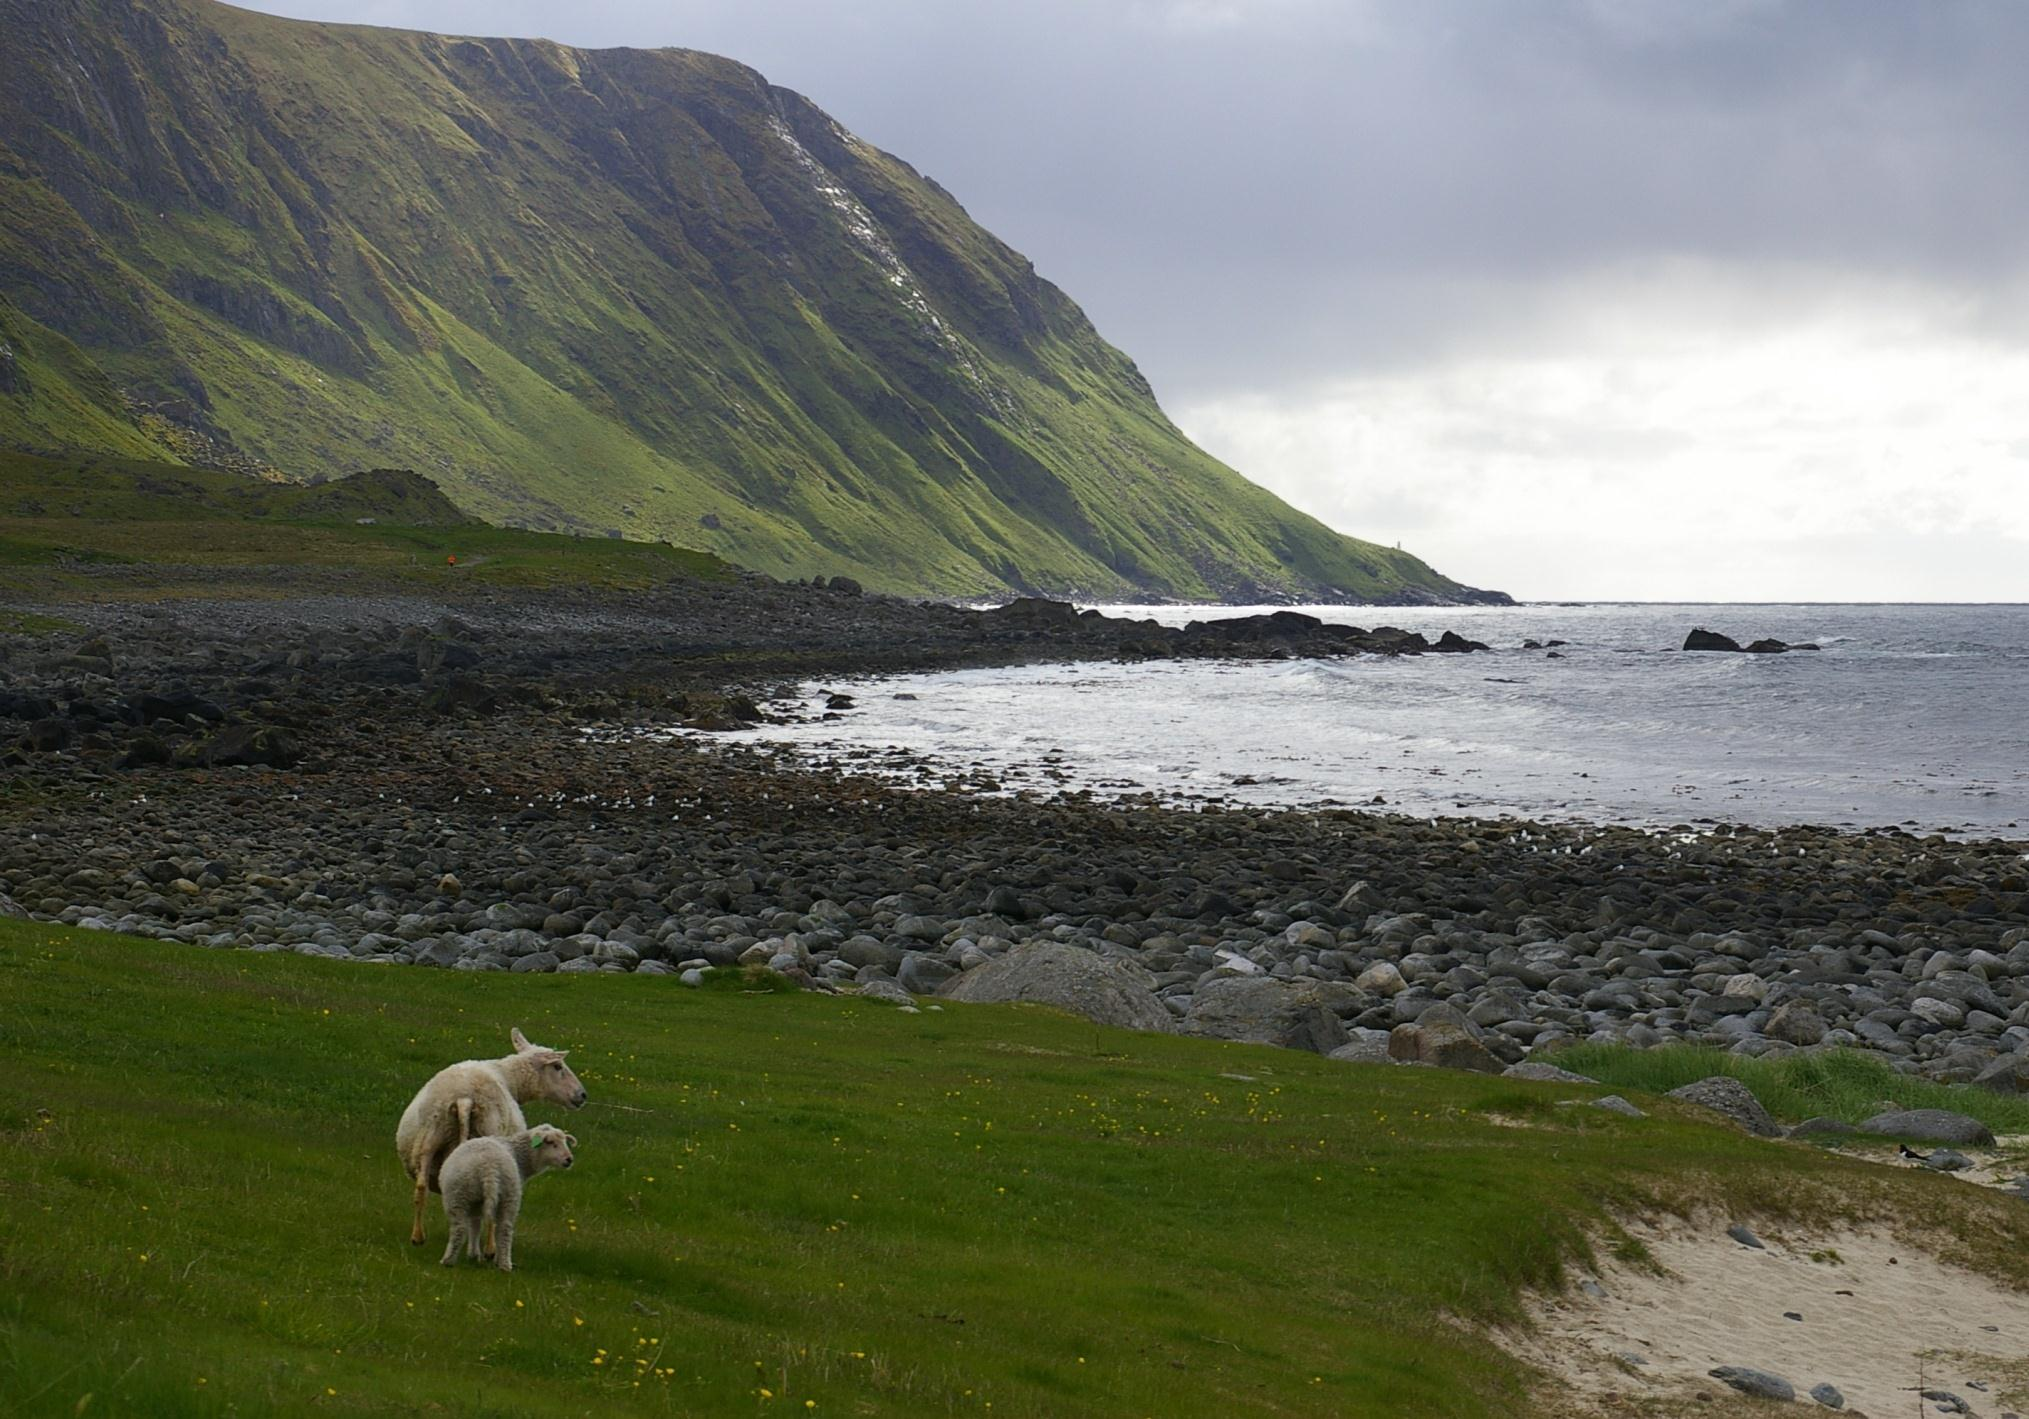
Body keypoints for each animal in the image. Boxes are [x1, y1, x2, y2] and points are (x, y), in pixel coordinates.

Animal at [395, 1031, 584, 1242]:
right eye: (558, 1066)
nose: (582, 1095)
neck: (511, 1079)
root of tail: (464, 1099)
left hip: (430, 1136)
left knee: (421, 1187)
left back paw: (418, 1237)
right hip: (487, 1134)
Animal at [440, 1128, 576, 1274]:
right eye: (551, 1142)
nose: (569, 1159)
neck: (520, 1157)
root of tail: (490, 1167)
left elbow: (474, 1225)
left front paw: (473, 1254)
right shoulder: (477, 1204)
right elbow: (475, 1226)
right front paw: (474, 1254)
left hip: (457, 1196)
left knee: (460, 1228)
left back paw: (447, 1261)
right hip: (508, 1195)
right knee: (504, 1230)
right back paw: (504, 1264)